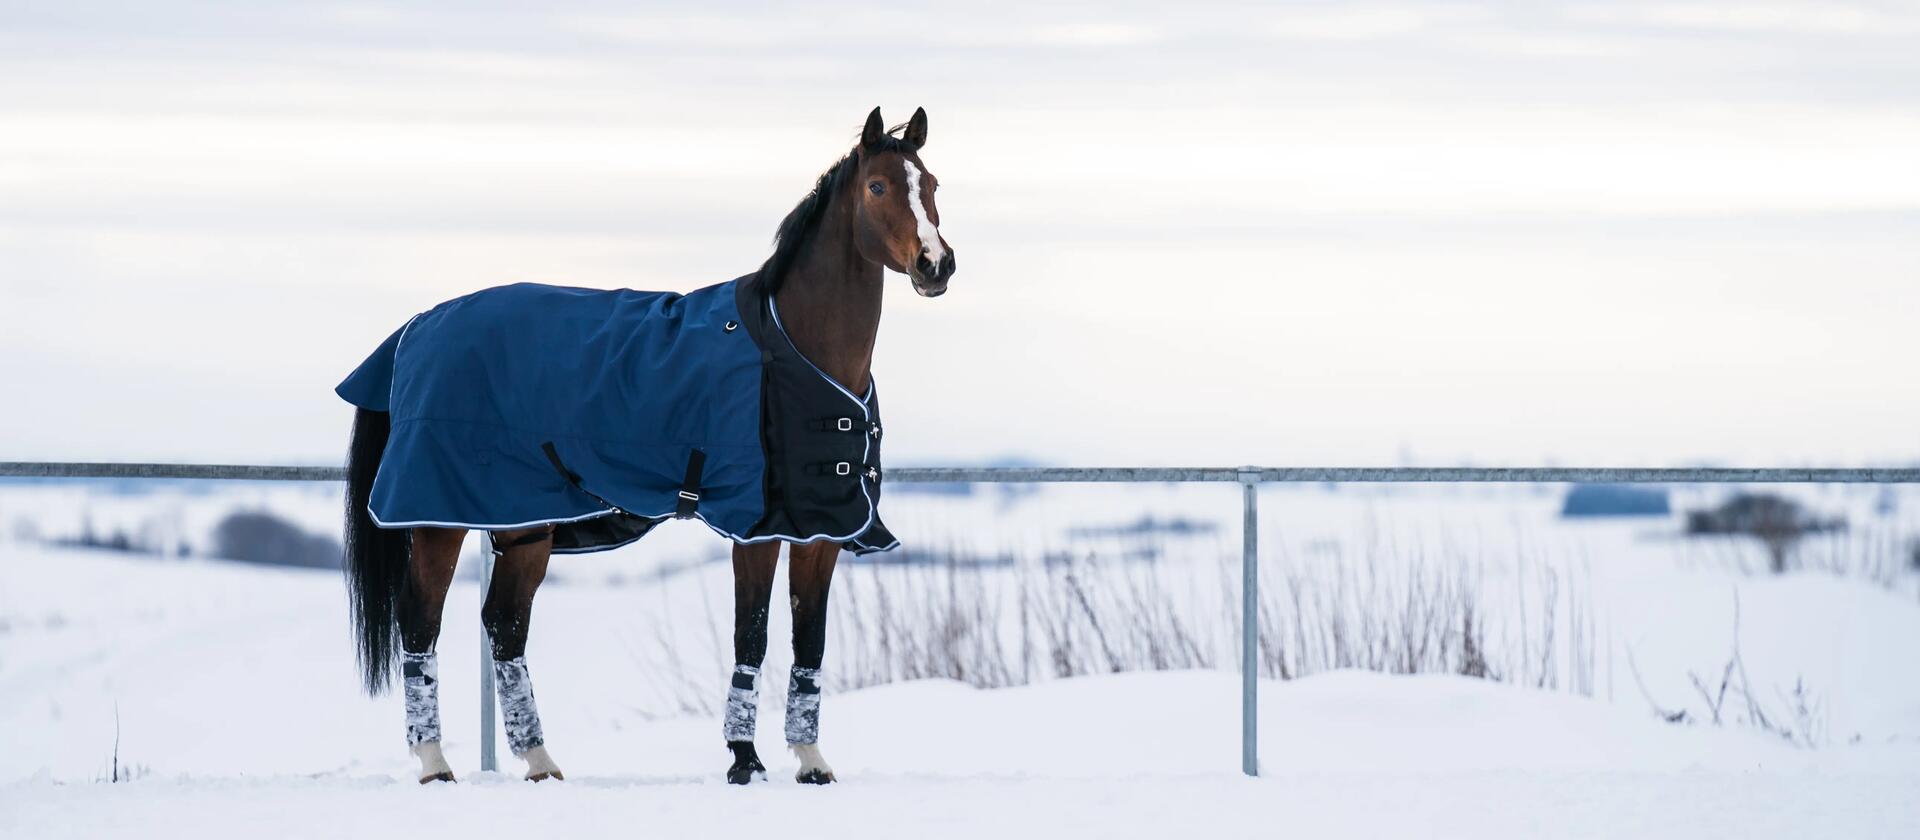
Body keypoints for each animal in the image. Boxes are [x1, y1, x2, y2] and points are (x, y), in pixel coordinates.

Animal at [341, 106, 956, 786]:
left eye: (931, 185)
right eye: (877, 187)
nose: (936, 265)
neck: (794, 349)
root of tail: (418, 327)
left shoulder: (819, 532)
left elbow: (810, 641)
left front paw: (812, 762)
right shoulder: (756, 530)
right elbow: (752, 636)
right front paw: (745, 761)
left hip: (525, 523)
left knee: (505, 624)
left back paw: (540, 763)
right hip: (439, 518)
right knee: (420, 620)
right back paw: (434, 764)